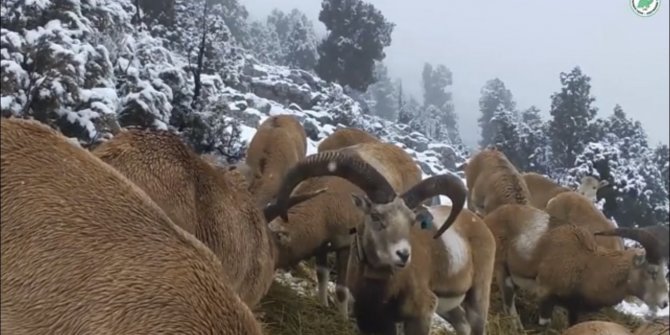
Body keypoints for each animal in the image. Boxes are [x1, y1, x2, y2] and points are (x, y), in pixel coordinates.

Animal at [270, 151, 470, 334]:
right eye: (375, 216)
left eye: (412, 221)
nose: (403, 254)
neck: (327, 199)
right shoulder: (323, 246)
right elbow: (322, 275)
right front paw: (323, 304)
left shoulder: (346, 246)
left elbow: (341, 290)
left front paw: (342, 319)